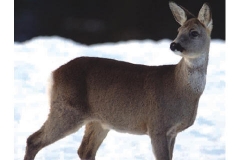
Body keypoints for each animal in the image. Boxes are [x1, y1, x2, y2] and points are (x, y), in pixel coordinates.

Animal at [23, 1, 212, 160]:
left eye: (194, 33)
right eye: (178, 31)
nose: (174, 45)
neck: (179, 87)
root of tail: (54, 74)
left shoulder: (173, 132)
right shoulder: (157, 125)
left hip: (98, 121)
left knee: (85, 150)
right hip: (67, 109)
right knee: (33, 140)